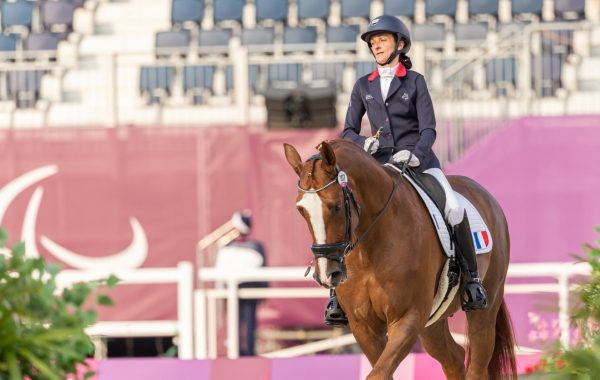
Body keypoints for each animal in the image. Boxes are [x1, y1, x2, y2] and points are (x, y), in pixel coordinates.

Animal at [282, 140, 516, 380]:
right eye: (301, 210)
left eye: (336, 206)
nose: (327, 274)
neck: (370, 246)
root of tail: (485, 196)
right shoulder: (364, 325)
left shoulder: (407, 317)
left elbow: (378, 374)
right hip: (432, 322)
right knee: (454, 357)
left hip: (484, 309)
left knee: (477, 363)